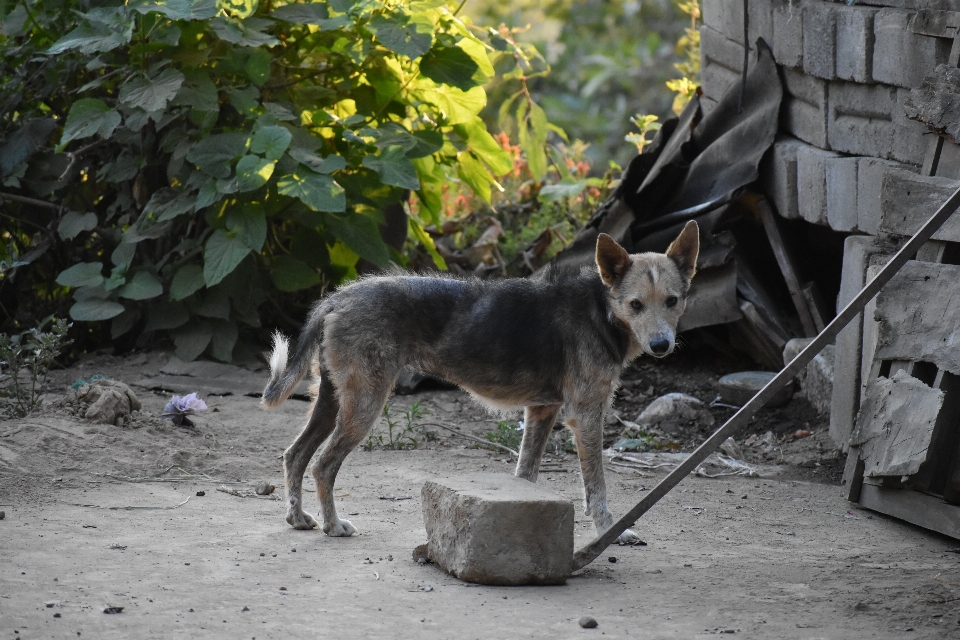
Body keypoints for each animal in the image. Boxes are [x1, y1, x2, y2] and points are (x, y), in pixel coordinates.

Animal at [262, 219, 696, 540]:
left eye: (672, 301)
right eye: (635, 304)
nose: (661, 345)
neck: (600, 309)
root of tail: (339, 297)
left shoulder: (542, 410)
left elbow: (526, 474)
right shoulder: (586, 416)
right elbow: (597, 487)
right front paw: (609, 531)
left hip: (333, 400)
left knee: (295, 455)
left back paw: (298, 518)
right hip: (364, 404)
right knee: (323, 465)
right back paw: (333, 525)